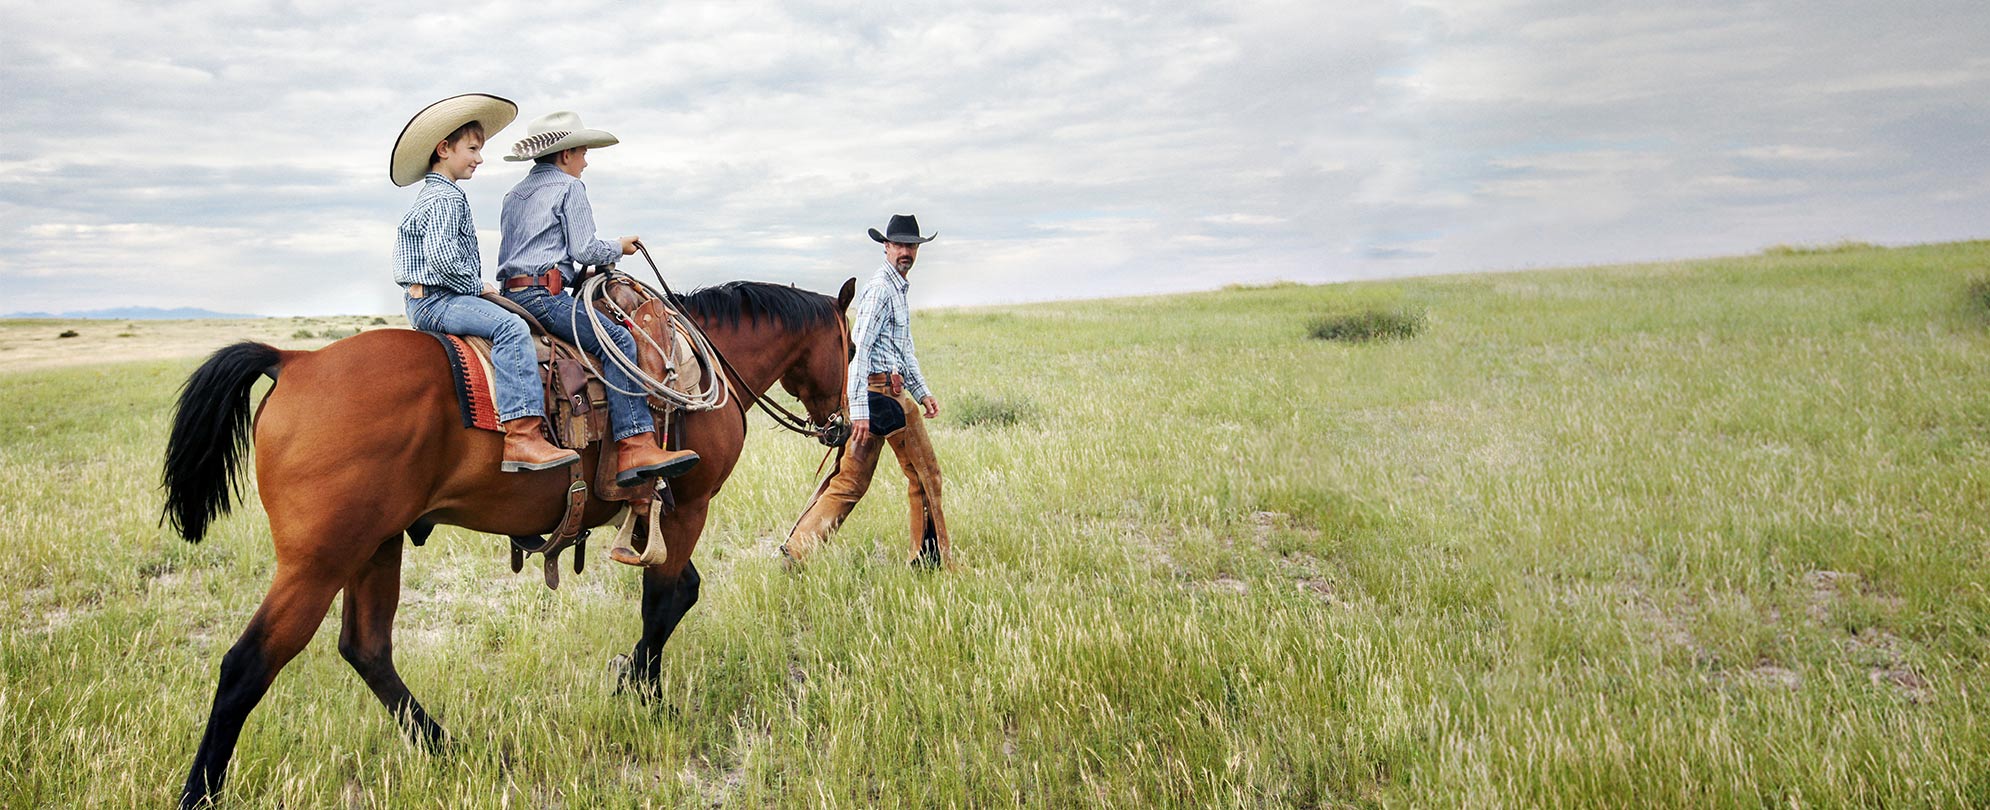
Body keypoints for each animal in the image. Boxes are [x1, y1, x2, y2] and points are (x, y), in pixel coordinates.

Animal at [165, 276, 855, 804]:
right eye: (848, 346)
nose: (843, 426)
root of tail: (294, 361)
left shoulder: (659, 512)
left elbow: (680, 592)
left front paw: (627, 680)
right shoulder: (688, 505)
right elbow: (663, 602)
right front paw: (650, 700)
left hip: (375, 547)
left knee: (367, 649)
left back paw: (446, 748)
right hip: (318, 562)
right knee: (248, 664)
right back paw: (201, 793)